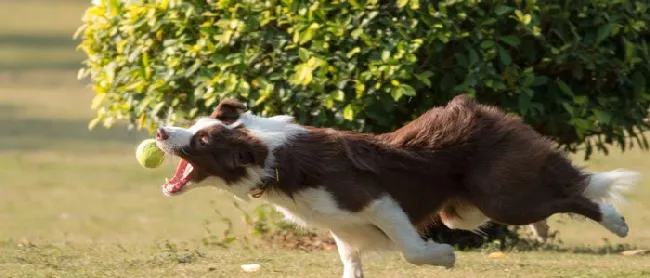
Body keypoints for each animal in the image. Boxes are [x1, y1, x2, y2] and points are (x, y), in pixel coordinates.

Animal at [156, 95, 636, 278]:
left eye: (201, 141)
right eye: (193, 125)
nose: (160, 131)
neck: (272, 158)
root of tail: (484, 110)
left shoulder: (378, 202)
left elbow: (411, 249)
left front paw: (444, 257)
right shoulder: (342, 227)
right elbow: (350, 262)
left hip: (499, 197)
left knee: (574, 194)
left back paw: (616, 222)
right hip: (465, 209)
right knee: (551, 195)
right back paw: (544, 230)